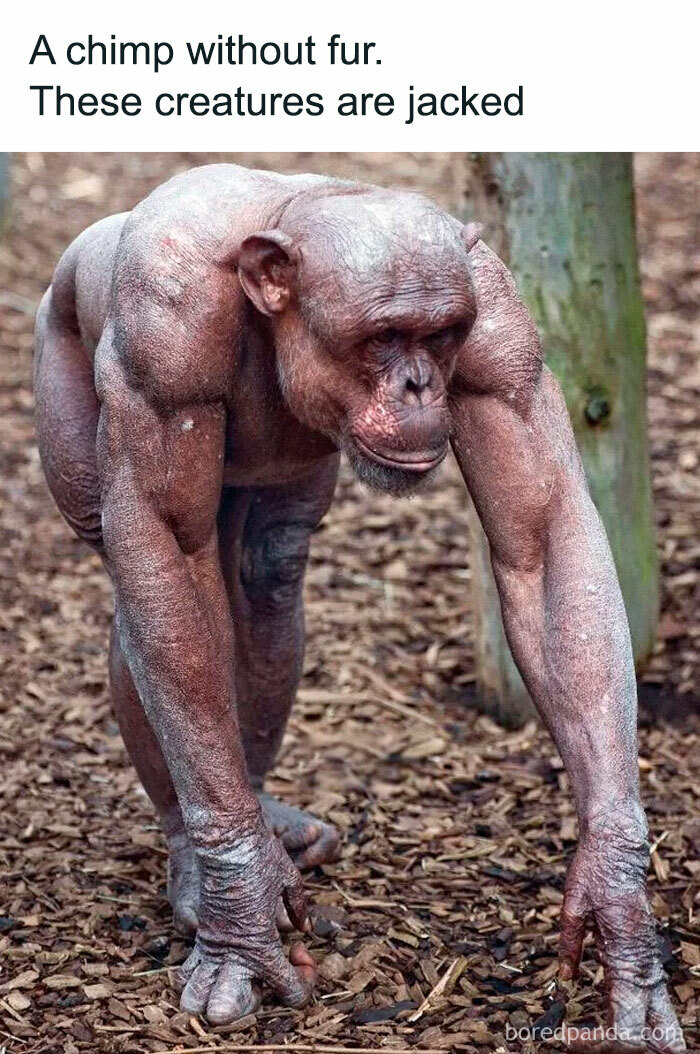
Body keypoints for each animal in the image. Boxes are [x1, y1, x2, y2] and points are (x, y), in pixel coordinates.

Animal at [33, 163, 685, 1048]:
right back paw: (199, 860)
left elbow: (543, 537)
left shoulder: (501, 339)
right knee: (153, 591)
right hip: (60, 363)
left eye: (440, 335)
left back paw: (265, 812)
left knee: (266, 575)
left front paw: (619, 903)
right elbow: (164, 546)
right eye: (383, 337)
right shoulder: (160, 339)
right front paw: (240, 910)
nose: (418, 383)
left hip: (284, 487)